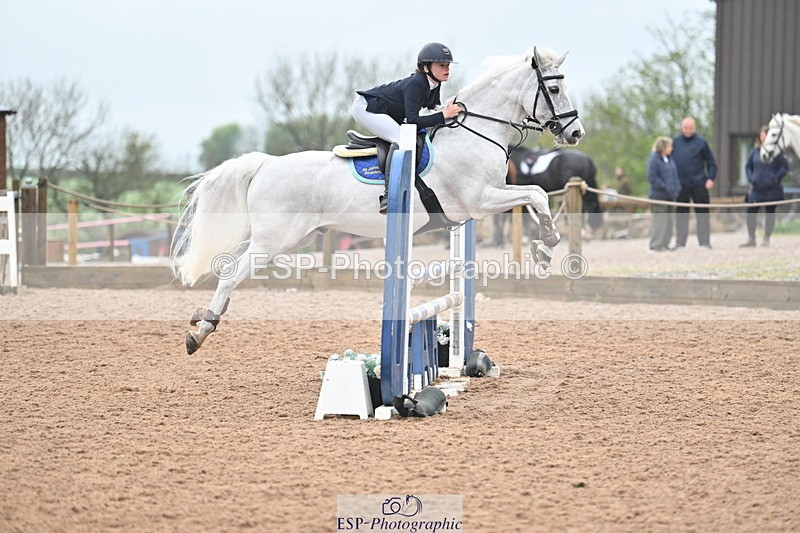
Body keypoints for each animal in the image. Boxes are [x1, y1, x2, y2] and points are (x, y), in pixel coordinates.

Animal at [171, 47, 585, 355]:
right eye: (554, 90)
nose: (576, 133)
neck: (474, 131)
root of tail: (266, 164)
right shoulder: (478, 201)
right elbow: (536, 195)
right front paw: (547, 246)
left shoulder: (485, 201)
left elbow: (536, 196)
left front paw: (544, 248)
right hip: (273, 240)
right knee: (230, 274)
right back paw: (200, 330)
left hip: (297, 238)